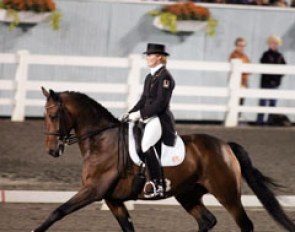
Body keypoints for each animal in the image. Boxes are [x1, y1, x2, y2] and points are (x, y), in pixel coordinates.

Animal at [33, 87, 295, 232]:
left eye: (54, 115)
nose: (52, 151)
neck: (102, 140)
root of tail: (225, 146)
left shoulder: (93, 191)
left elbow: (57, 212)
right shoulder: (112, 199)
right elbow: (128, 228)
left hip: (227, 194)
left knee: (244, 224)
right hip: (187, 194)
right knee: (207, 221)